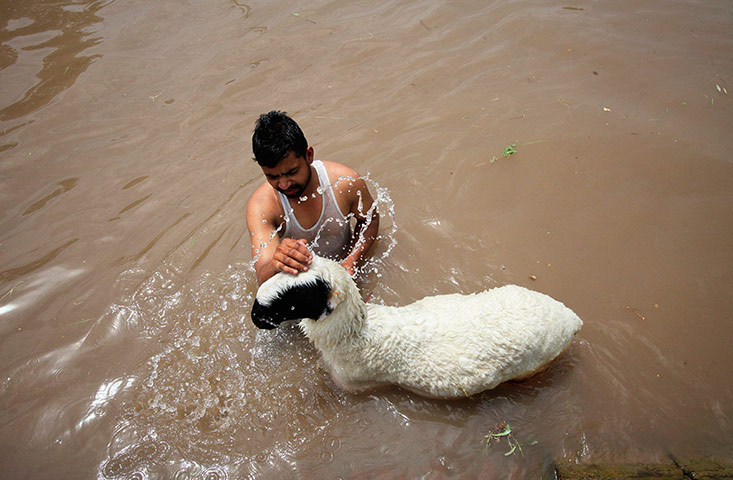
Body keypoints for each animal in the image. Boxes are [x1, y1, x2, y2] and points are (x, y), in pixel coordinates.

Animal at [251, 255, 583, 399]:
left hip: (535, 367)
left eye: (298, 298)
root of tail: (570, 318)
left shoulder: (352, 384)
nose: (255, 316)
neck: (357, 335)